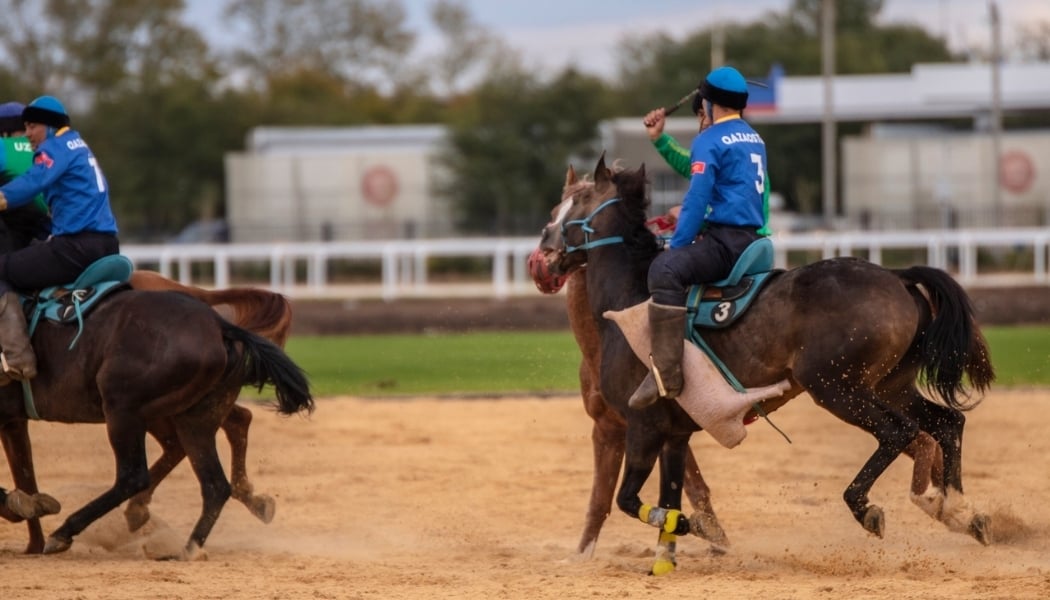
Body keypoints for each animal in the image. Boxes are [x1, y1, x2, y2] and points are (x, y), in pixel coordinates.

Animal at [0, 287, 313, 559]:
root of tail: (219, 326)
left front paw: (23, 509)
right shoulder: (12, 421)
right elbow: (24, 474)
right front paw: (29, 516)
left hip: (123, 408)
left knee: (134, 476)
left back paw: (67, 531)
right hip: (193, 419)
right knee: (214, 481)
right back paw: (189, 546)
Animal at [529, 156, 994, 574]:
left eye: (578, 202)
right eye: (554, 209)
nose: (543, 255)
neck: (629, 301)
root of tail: (897, 278)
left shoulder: (643, 426)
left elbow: (629, 499)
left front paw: (690, 528)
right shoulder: (674, 434)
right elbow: (670, 492)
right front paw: (667, 554)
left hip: (837, 389)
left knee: (900, 433)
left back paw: (868, 506)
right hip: (889, 386)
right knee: (945, 424)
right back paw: (958, 508)